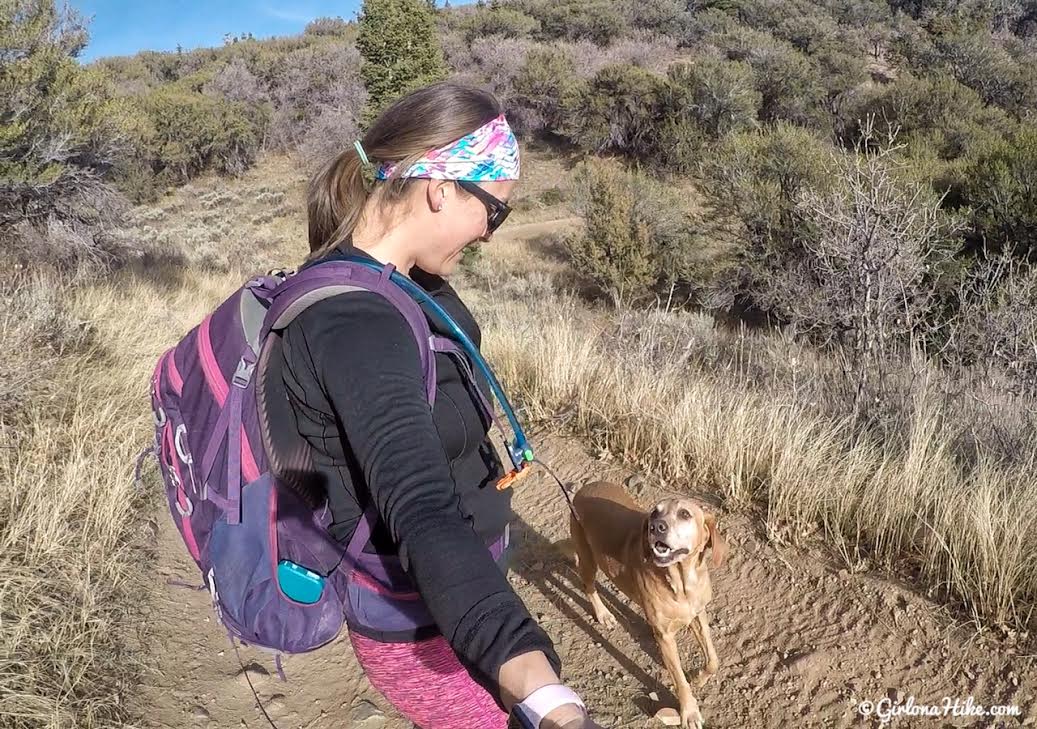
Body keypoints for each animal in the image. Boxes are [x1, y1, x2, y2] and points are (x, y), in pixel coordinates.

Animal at [572, 481, 725, 725]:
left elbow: (713, 661)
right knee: (588, 585)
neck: (682, 584)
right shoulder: (665, 637)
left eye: (685, 514)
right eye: (655, 512)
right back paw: (603, 614)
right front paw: (690, 711)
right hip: (588, 559)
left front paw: (699, 679)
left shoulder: (698, 614)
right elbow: (679, 680)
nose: (656, 527)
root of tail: (586, 487)